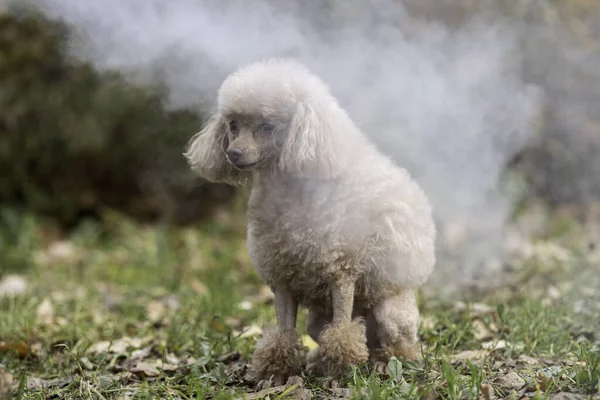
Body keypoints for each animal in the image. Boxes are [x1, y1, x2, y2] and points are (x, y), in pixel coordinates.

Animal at [184, 57, 436, 386]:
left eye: (267, 125)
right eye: (233, 124)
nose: (233, 153)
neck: (290, 192)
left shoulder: (342, 274)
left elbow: (341, 331)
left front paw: (341, 372)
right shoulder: (281, 280)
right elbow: (283, 332)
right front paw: (275, 373)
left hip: (390, 312)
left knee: (396, 344)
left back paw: (384, 362)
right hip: (316, 322)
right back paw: (319, 361)